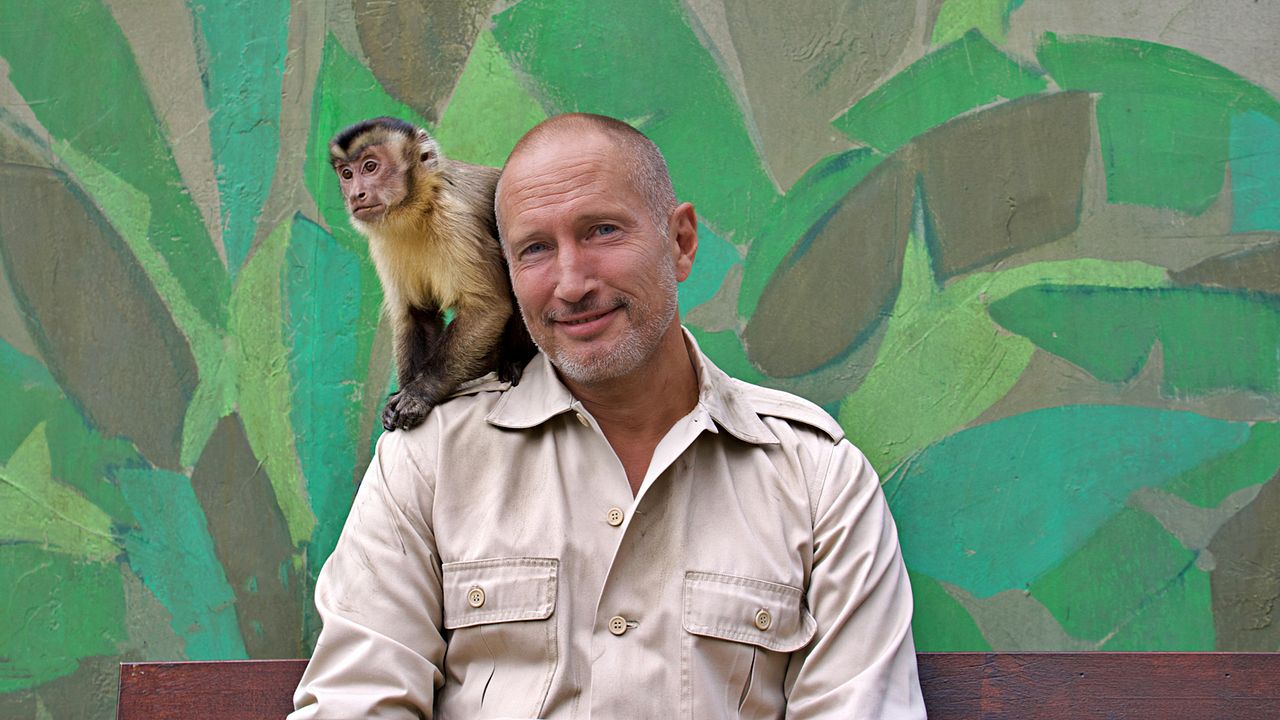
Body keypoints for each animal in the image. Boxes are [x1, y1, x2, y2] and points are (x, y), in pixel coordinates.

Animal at [330, 117, 536, 431]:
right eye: (347, 174)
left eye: (370, 167)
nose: (356, 194)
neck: (418, 208)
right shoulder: (382, 242)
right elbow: (417, 313)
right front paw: (404, 391)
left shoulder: (454, 220)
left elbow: (487, 307)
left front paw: (419, 393)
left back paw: (514, 359)